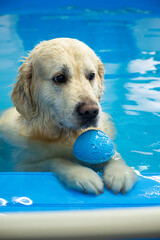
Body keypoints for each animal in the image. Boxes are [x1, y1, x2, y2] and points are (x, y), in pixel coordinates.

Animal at [0, 38, 137, 195]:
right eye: (59, 78)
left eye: (91, 75)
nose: (90, 111)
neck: (63, 135)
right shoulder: (22, 167)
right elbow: (55, 161)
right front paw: (82, 174)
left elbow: (114, 153)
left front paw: (120, 172)